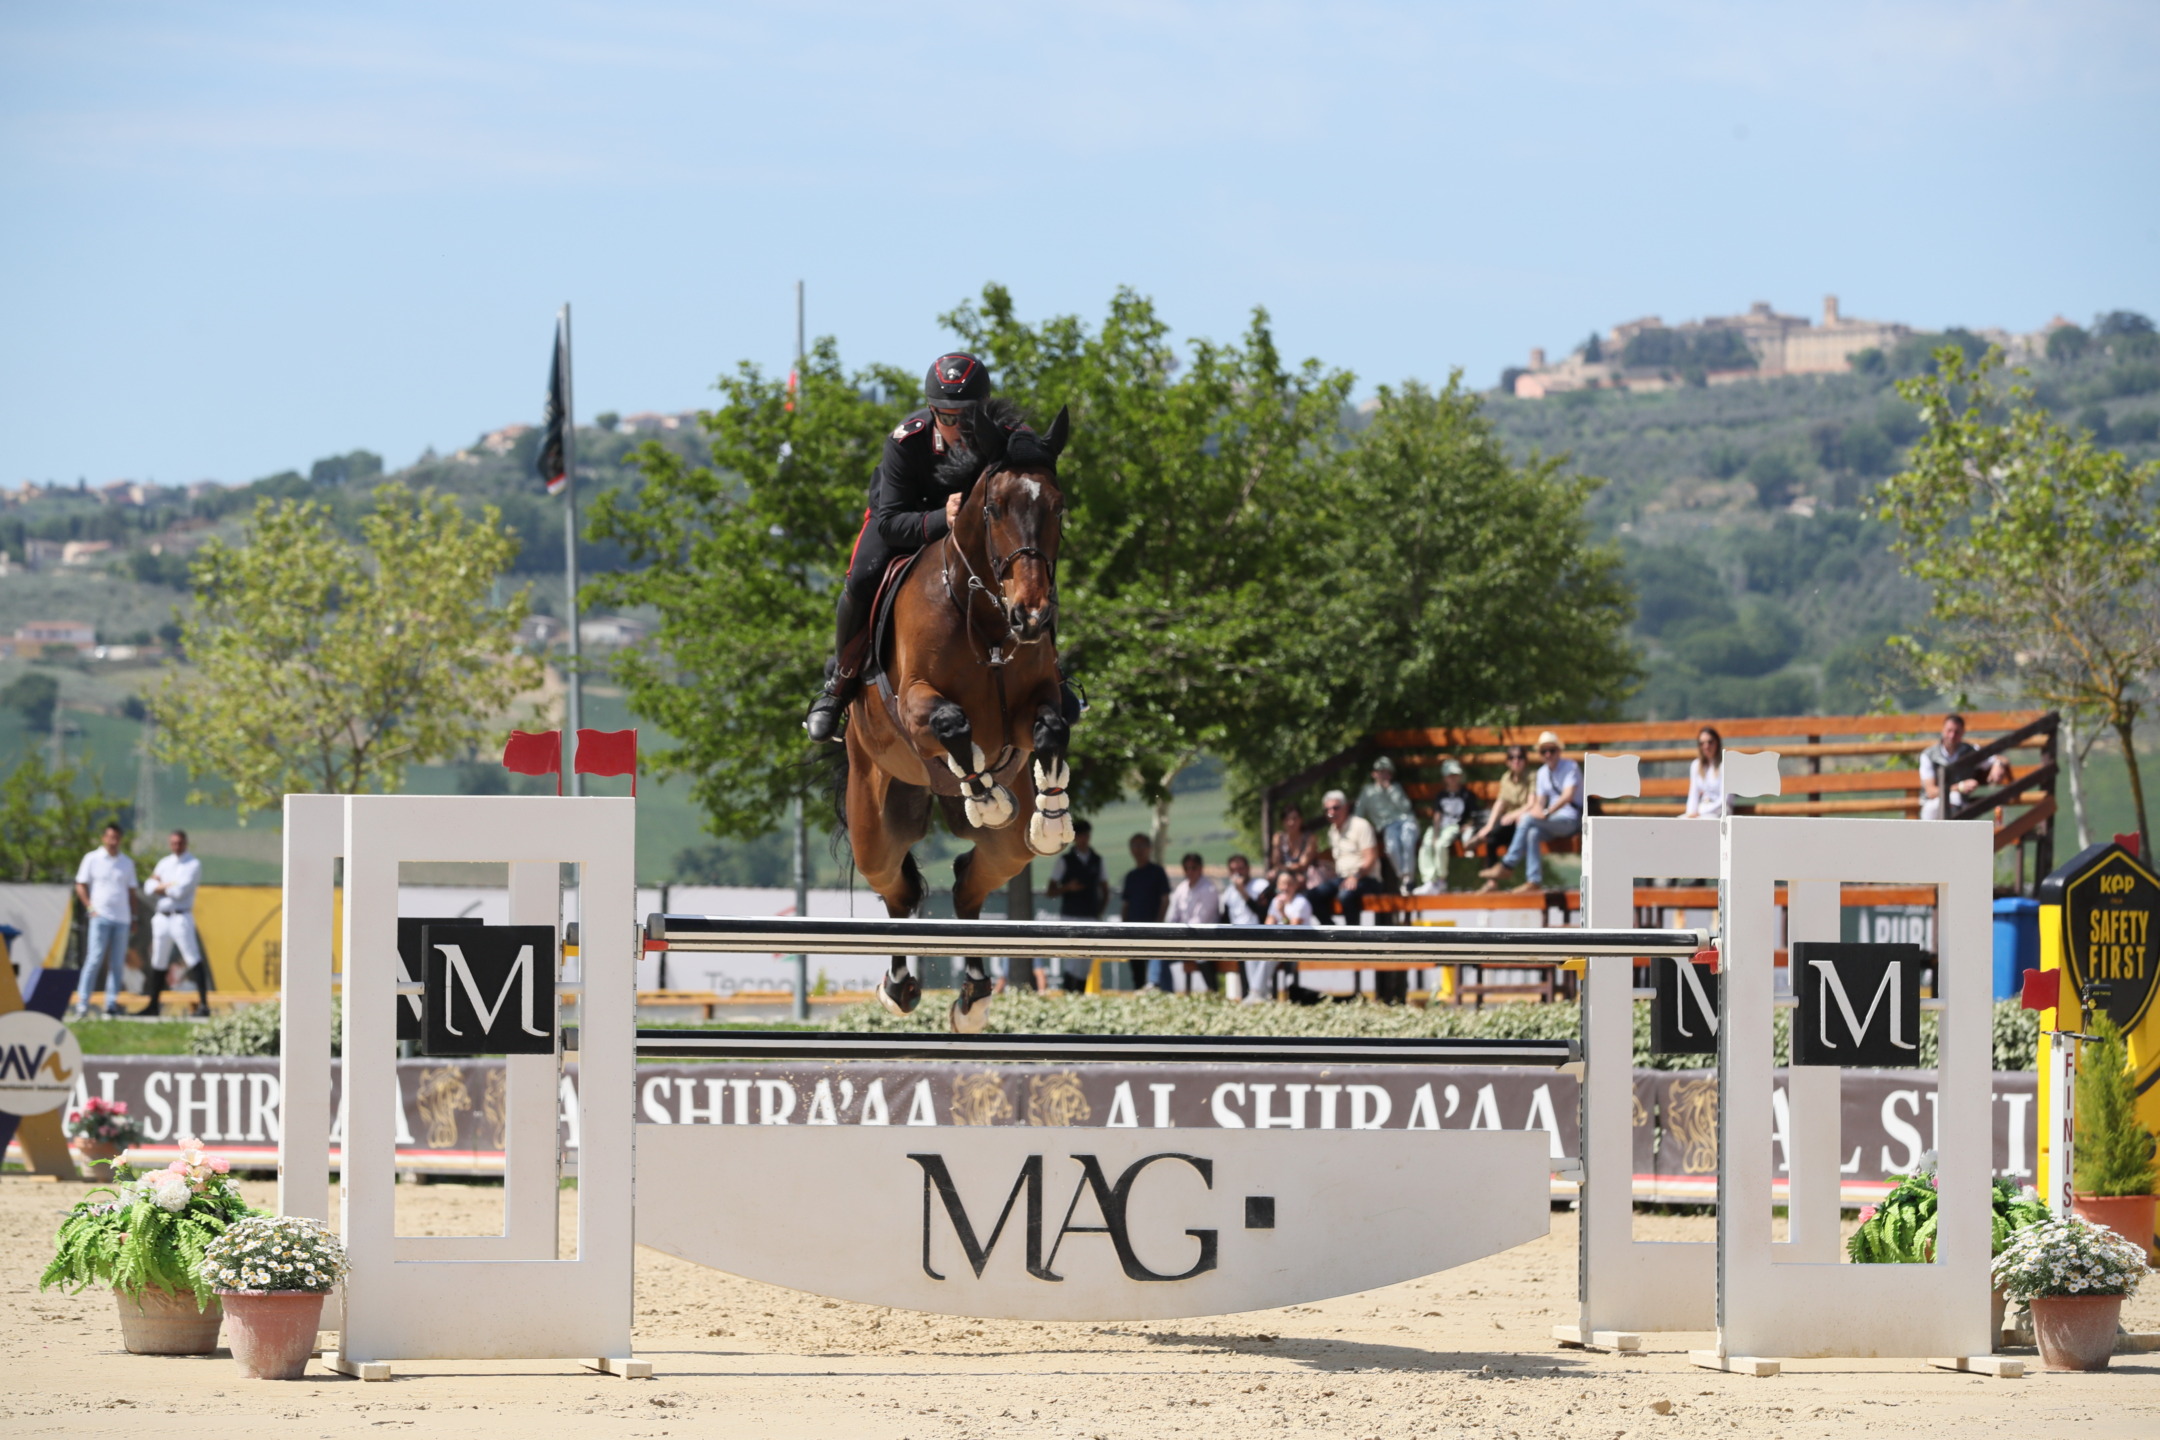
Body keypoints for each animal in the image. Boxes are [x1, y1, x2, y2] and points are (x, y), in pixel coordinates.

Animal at [842, 399, 1080, 1031]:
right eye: (994, 508)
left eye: (1058, 506)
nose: (1032, 615)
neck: (986, 619)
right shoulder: (915, 705)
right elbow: (951, 723)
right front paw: (986, 795)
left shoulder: (1029, 707)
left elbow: (1052, 728)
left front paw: (1052, 815)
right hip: (873, 816)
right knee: (897, 887)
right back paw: (898, 986)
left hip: (1006, 853)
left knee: (969, 881)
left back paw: (973, 993)